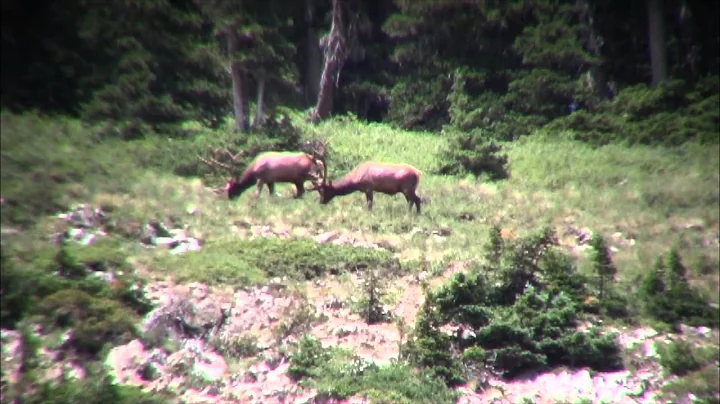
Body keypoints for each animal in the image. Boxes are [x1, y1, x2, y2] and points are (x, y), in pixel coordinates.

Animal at [198, 142, 329, 200]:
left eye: (233, 188)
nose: (230, 198)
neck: (253, 169)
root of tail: (315, 160)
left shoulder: (261, 178)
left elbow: (257, 194)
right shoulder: (270, 180)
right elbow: (272, 194)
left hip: (307, 177)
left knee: (310, 190)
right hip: (300, 179)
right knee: (304, 191)